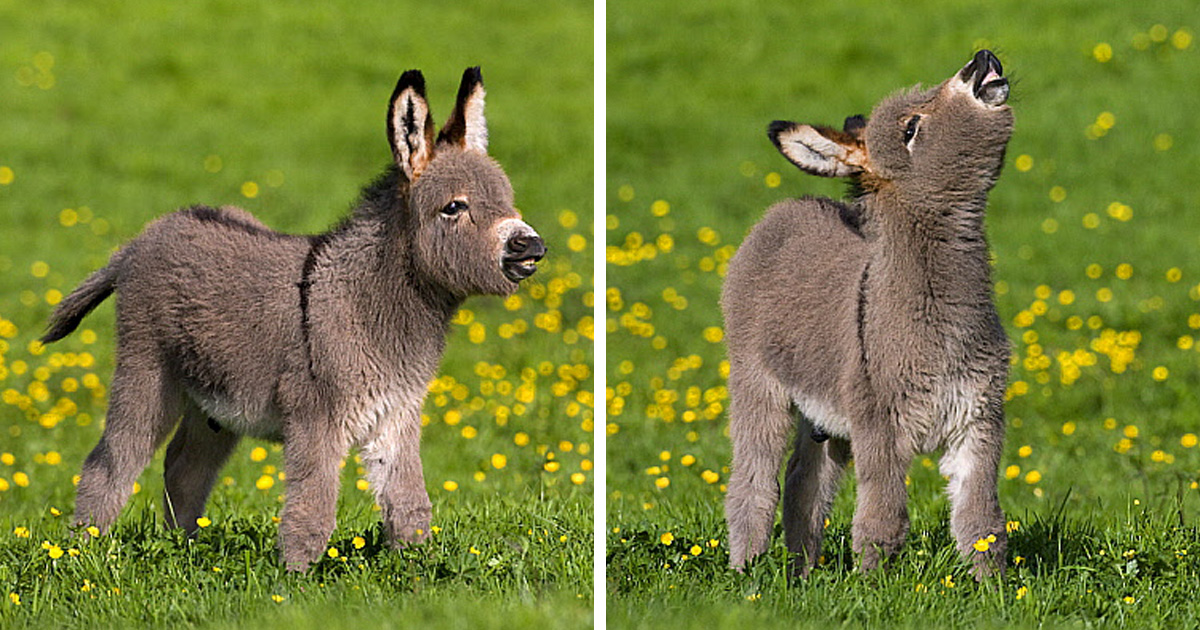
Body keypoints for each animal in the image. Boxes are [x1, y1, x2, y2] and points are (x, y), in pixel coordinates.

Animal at [41, 67, 549, 568]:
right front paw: (296, 579)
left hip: (214, 403)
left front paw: (417, 570)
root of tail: (139, 240)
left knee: (185, 467)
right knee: (110, 463)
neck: (368, 301)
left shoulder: (397, 414)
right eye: (454, 207)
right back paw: (81, 553)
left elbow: (409, 506)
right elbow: (311, 511)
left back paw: (184, 549)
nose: (531, 246)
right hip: (146, 370)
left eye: (507, 200)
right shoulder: (317, 418)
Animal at [720, 50, 1012, 580]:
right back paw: (746, 570)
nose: (981, 59)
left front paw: (993, 588)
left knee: (804, 485)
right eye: (911, 128)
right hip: (756, 382)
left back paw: (801, 574)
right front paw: (874, 585)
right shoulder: (881, 425)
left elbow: (981, 522)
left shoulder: (978, 421)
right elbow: (883, 518)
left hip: (825, 420)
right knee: (753, 484)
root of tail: (786, 208)